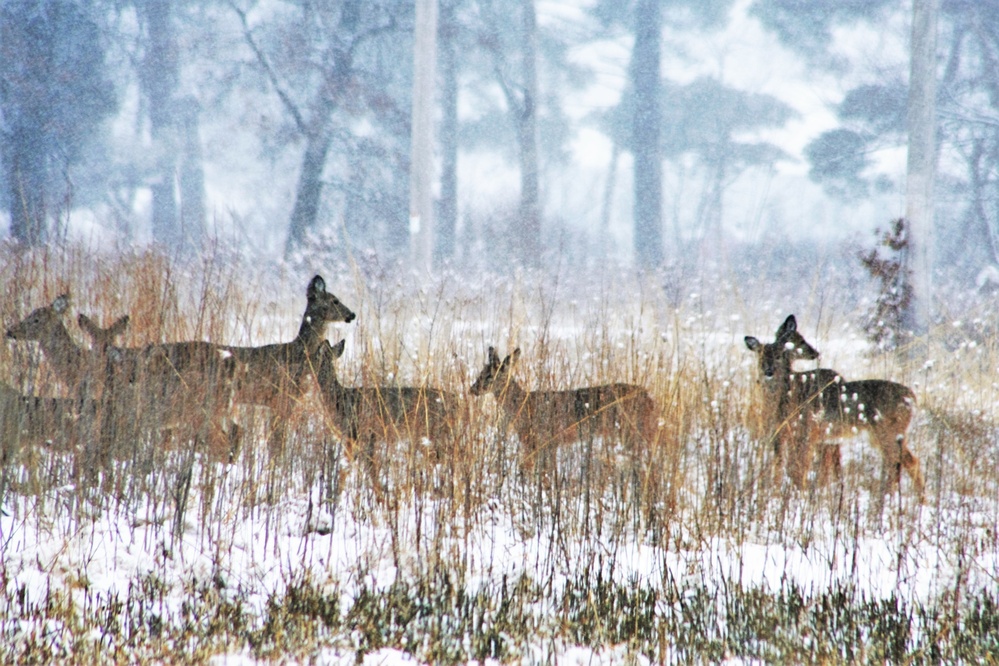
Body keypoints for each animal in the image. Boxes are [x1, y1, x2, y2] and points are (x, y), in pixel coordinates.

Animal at [472, 344, 660, 470]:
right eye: (480, 373)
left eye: (489, 376)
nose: (472, 389)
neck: (522, 405)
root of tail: (650, 399)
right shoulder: (546, 444)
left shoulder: (538, 441)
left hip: (633, 432)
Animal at [748, 314, 924, 496]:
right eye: (760, 357)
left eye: (778, 356)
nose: (768, 372)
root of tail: (911, 397)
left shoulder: (807, 433)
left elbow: (801, 469)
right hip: (888, 434)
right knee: (905, 462)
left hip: (887, 431)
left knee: (899, 462)